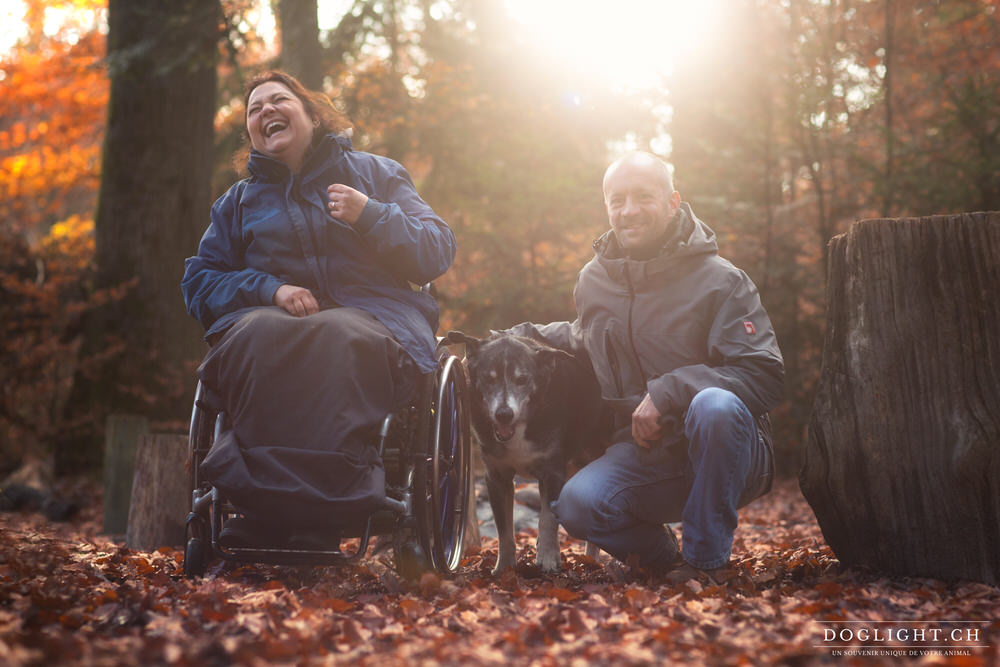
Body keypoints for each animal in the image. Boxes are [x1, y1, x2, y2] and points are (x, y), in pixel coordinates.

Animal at [446, 332, 608, 572]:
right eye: (489, 379)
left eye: (522, 379)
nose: (504, 414)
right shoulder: (497, 478)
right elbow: (504, 530)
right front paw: (504, 567)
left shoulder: (552, 473)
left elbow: (547, 519)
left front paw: (548, 558)